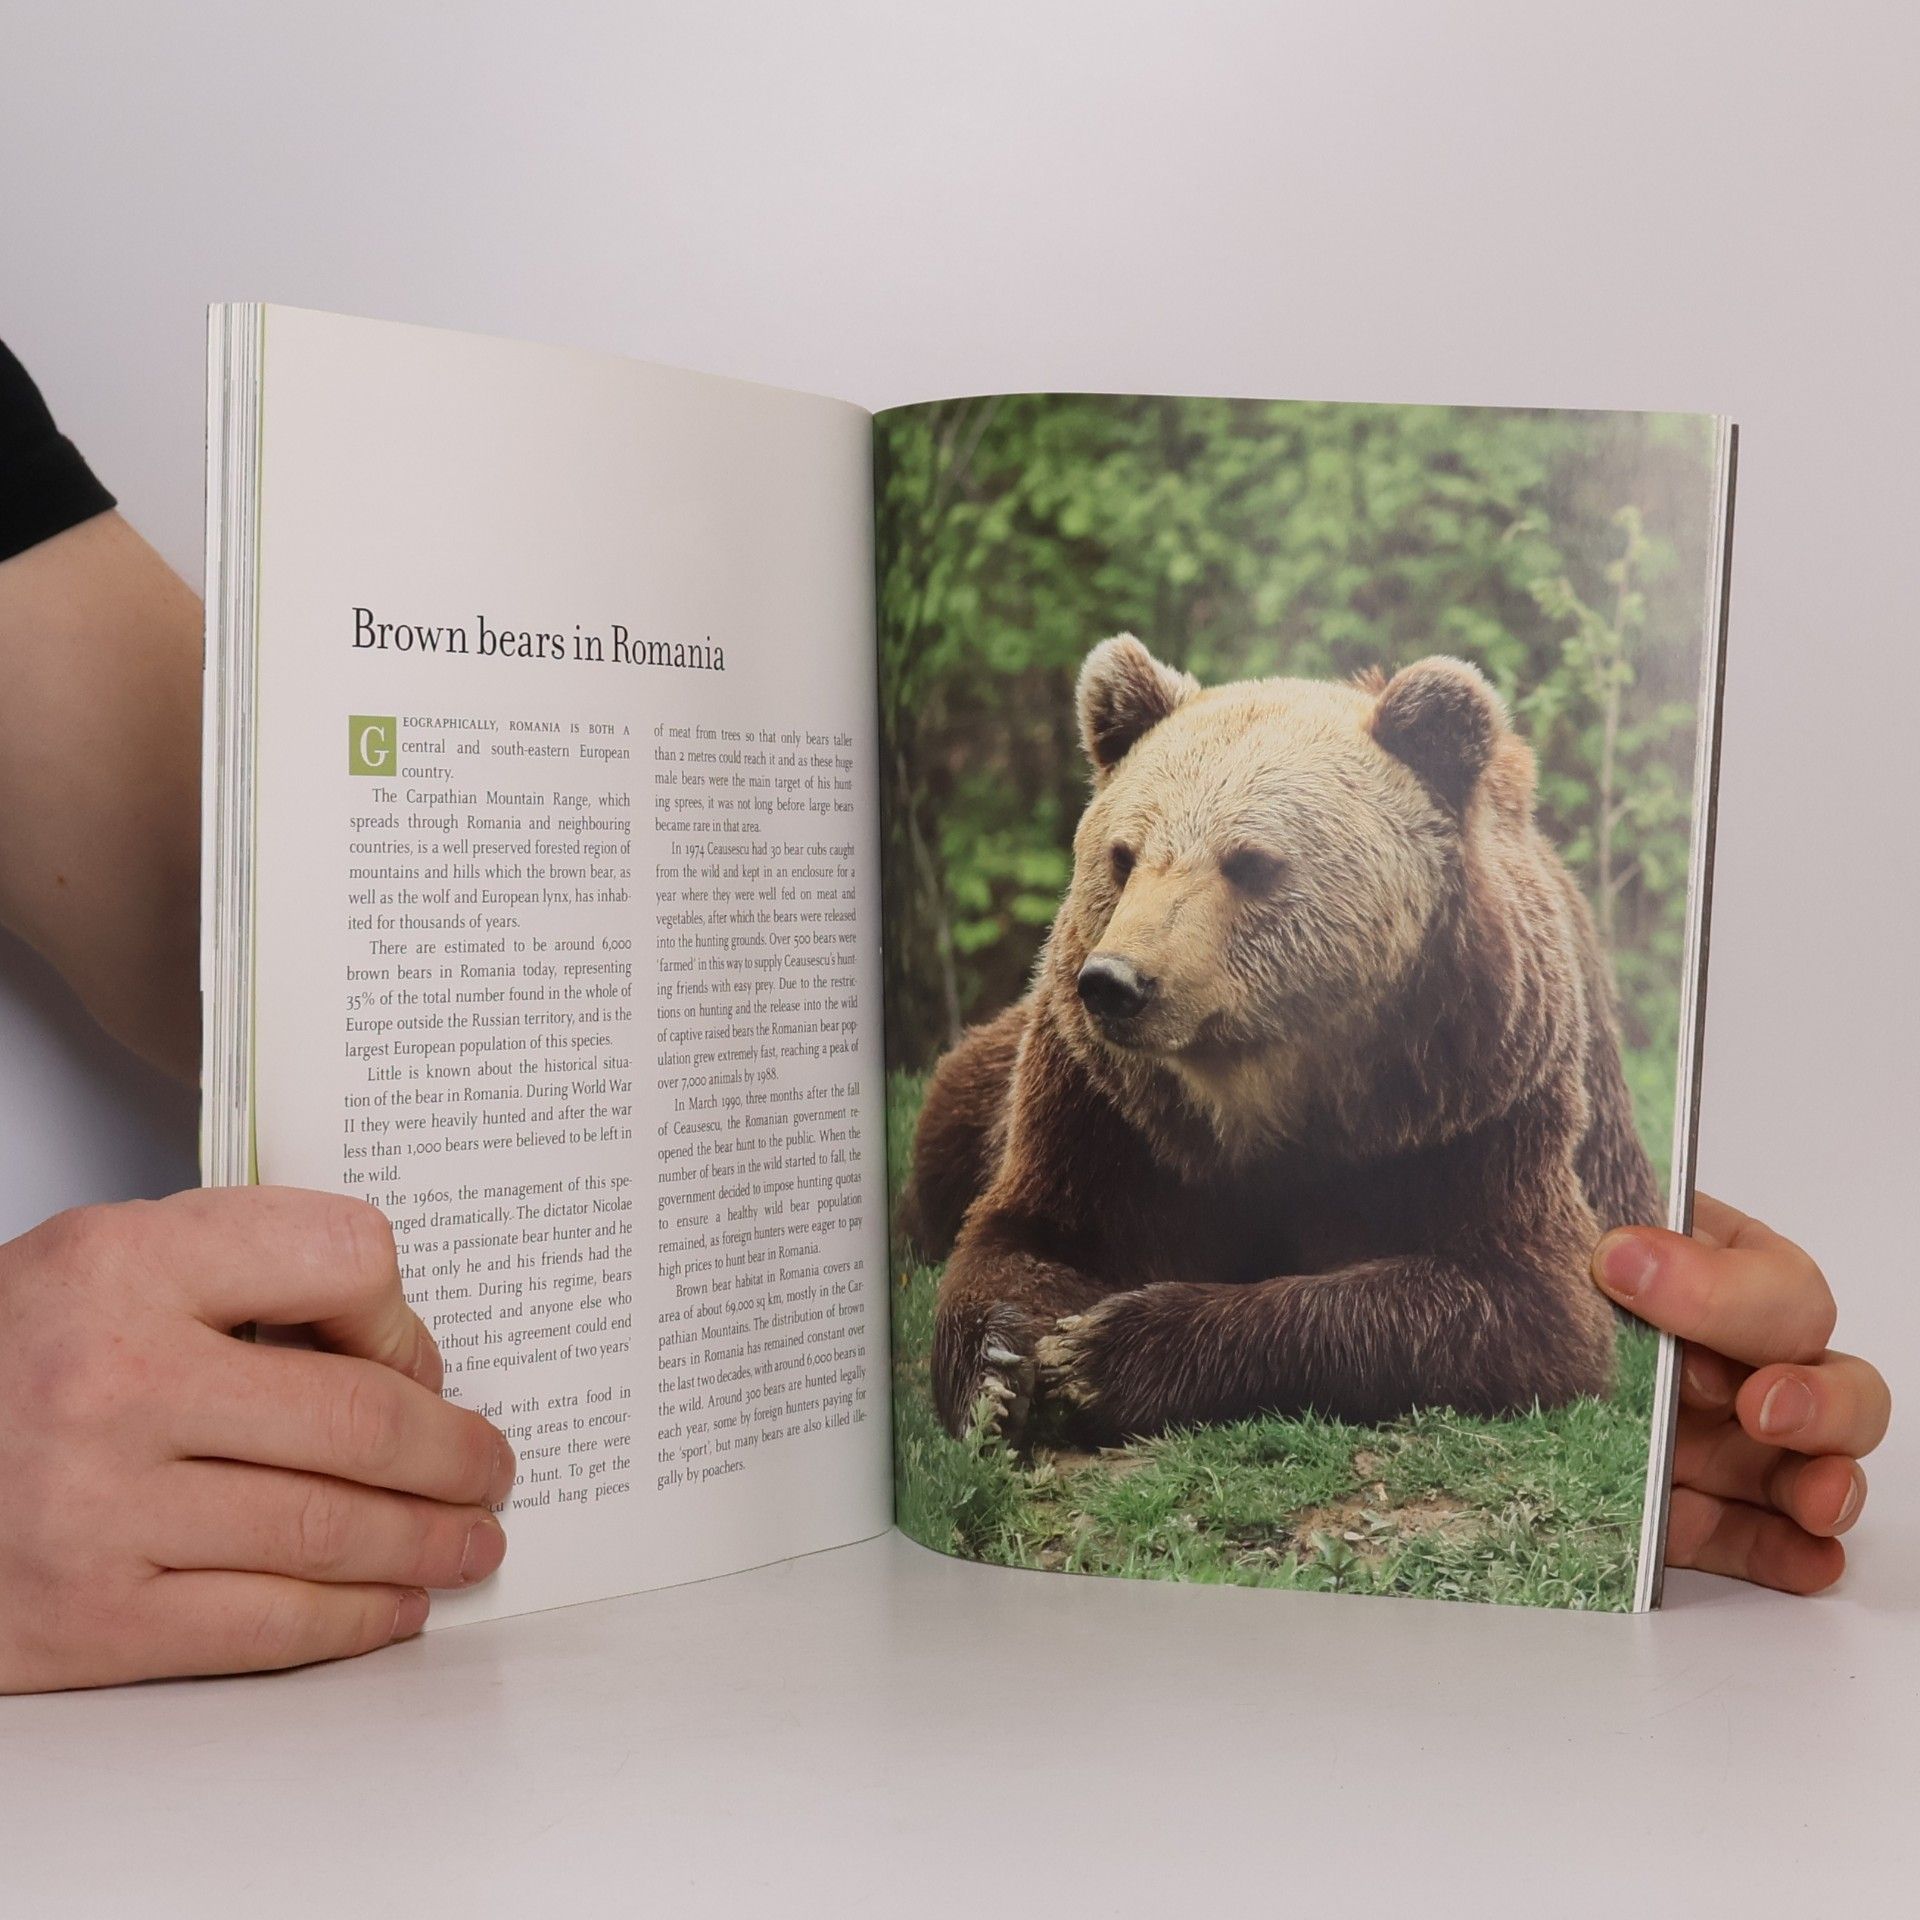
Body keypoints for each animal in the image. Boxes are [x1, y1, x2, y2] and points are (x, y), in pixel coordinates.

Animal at [902, 633, 1660, 1450]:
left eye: (1249, 862)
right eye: (1123, 854)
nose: (1115, 982)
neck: (1262, 1087)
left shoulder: (1472, 1101)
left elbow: (1514, 1298)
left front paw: (1105, 1352)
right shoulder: (1108, 1110)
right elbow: (1029, 1234)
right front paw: (1000, 1371)